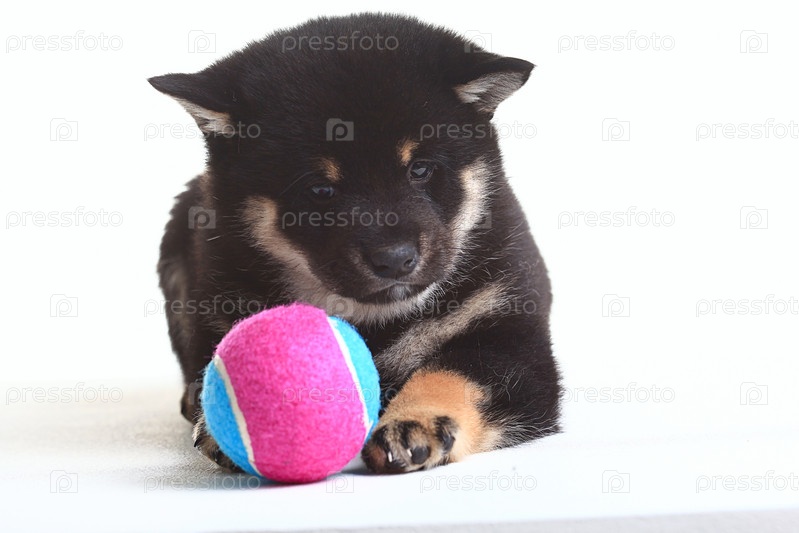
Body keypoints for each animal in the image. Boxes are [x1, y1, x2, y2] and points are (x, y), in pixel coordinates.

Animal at [150, 13, 561, 474]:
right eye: (319, 189)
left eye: (420, 169)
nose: (395, 260)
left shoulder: (510, 334)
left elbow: (454, 374)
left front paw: (415, 420)